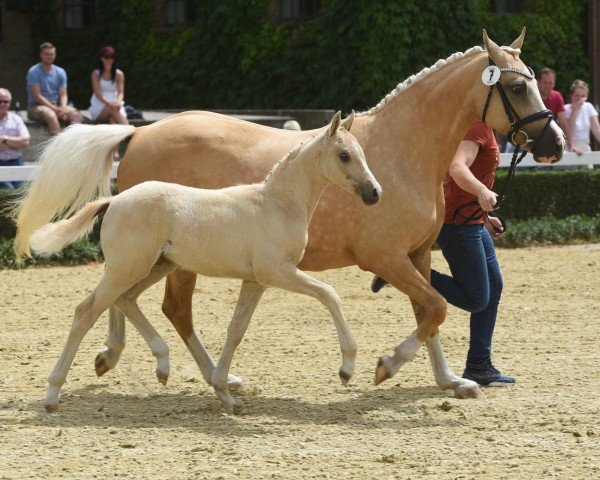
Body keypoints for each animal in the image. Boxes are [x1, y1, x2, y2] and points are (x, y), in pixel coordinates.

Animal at [29, 110, 380, 410]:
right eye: (344, 155)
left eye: (363, 153)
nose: (374, 193)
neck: (276, 204)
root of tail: (114, 200)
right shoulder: (278, 272)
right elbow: (329, 294)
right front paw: (347, 368)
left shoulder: (255, 281)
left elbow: (236, 329)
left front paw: (223, 390)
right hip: (129, 268)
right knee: (86, 311)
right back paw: (52, 394)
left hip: (155, 266)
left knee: (126, 300)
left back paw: (162, 364)